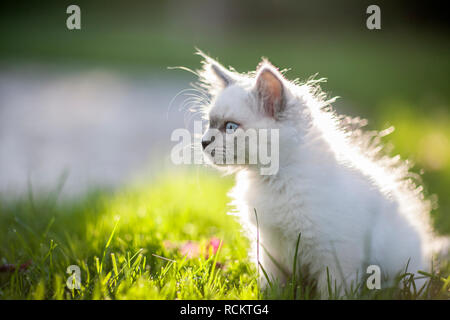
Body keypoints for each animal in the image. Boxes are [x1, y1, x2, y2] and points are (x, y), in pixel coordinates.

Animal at [192, 50, 446, 298]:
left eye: (230, 127)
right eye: (209, 124)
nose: (203, 142)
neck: (273, 181)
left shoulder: (335, 252)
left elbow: (333, 291)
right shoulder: (268, 247)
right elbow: (271, 287)